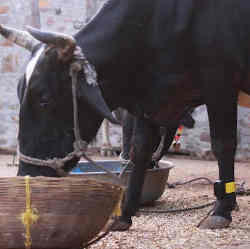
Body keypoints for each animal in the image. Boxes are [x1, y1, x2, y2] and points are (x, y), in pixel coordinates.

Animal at [0, 0, 250, 231]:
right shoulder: (150, 103)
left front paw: (222, 210)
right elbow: (139, 151)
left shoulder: (220, 86)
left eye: (44, 99)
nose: (27, 175)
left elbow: (223, 145)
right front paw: (125, 214)